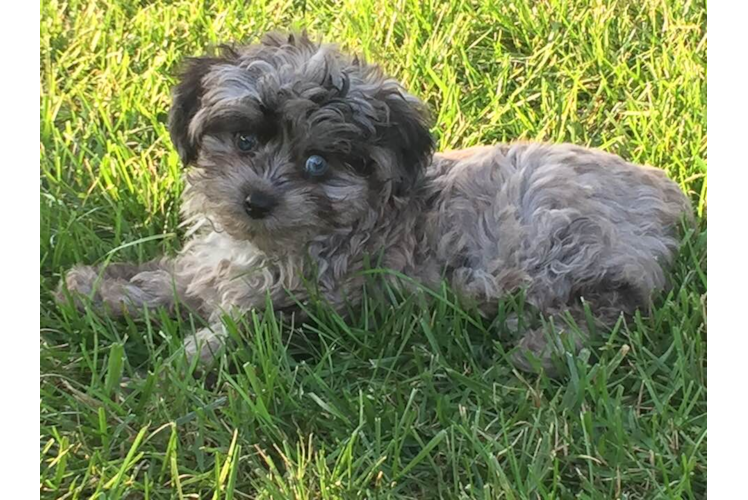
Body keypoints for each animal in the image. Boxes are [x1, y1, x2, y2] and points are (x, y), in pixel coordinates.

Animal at [55, 32, 692, 376]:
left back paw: (541, 344)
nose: (256, 200)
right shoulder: (213, 264)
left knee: (619, 300)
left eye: (317, 163)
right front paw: (96, 289)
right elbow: (170, 280)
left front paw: (177, 368)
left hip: (554, 234)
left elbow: (242, 326)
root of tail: (665, 196)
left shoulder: (314, 303)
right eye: (244, 141)